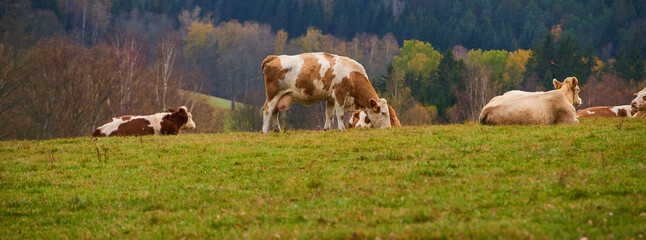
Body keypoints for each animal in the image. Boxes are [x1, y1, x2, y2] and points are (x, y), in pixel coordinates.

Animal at [260, 52, 392, 133]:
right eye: (383, 113)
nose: (389, 128)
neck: (353, 75)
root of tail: (274, 57)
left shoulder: (330, 98)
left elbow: (329, 114)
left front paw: (326, 129)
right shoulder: (340, 94)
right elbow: (340, 114)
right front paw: (341, 129)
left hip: (280, 96)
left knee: (275, 112)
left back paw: (277, 130)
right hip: (273, 94)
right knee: (268, 110)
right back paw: (265, 131)